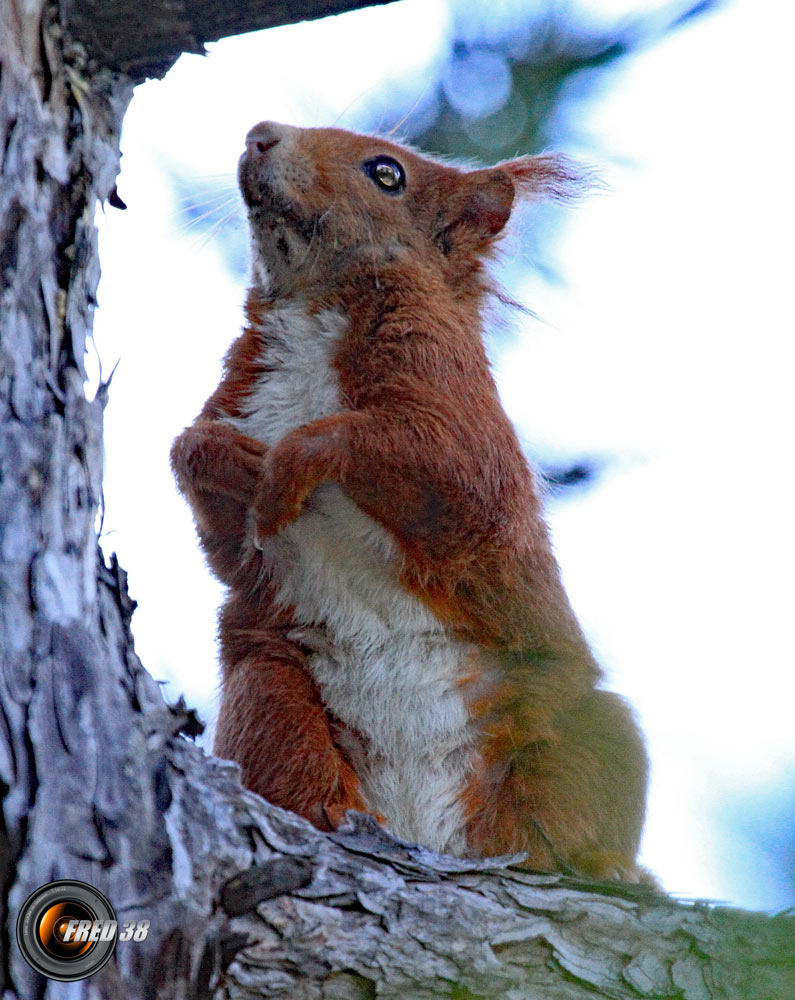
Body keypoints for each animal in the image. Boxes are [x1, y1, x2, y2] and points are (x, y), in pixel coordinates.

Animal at [171, 121, 648, 880]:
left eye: (387, 174)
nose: (259, 134)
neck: (313, 306)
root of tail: (427, 830)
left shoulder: (459, 414)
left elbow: (426, 463)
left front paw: (291, 460)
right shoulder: (241, 397)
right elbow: (209, 506)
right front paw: (225, 459)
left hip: (588, 733)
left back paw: (594, 865)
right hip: (269, 689)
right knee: (287, 754)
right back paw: (328, 813)